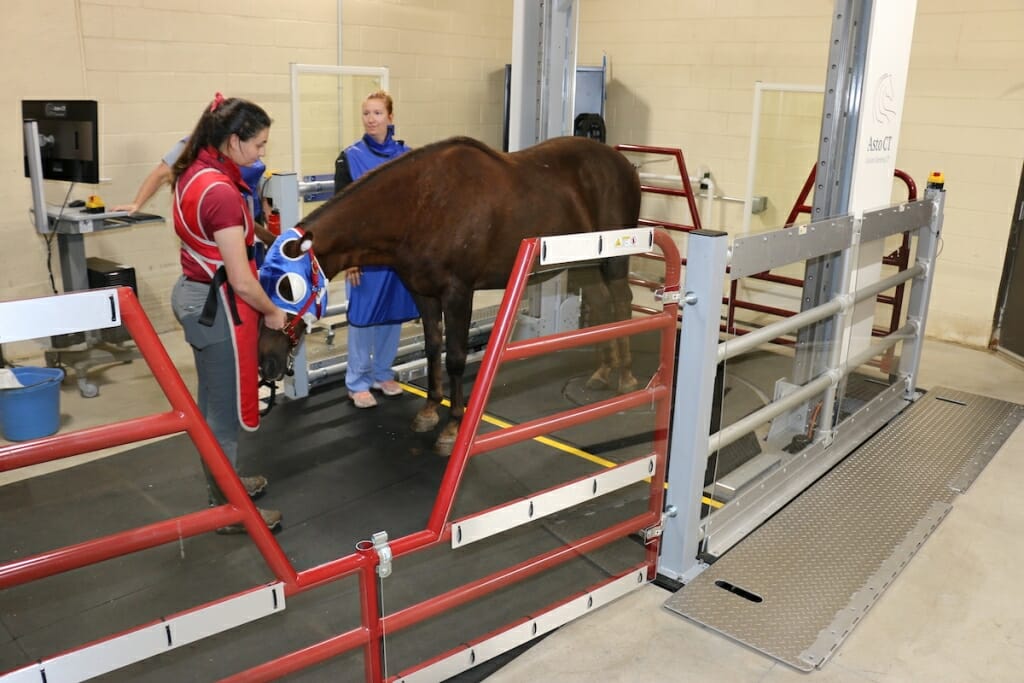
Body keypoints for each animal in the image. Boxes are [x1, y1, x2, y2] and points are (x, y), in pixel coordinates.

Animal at [256, 134, 638, 454]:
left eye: (288, 287)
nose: (266, 361)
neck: (423, 204)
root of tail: (622, 163)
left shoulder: (458, 294)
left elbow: (454, 357)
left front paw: (453, 427)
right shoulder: (422, 294)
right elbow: (432, 348)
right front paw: (429, 410)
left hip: (614, 261)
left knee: (622, 304)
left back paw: (625, 377)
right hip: (586, 263)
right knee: (602, 306)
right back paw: (602, 373)